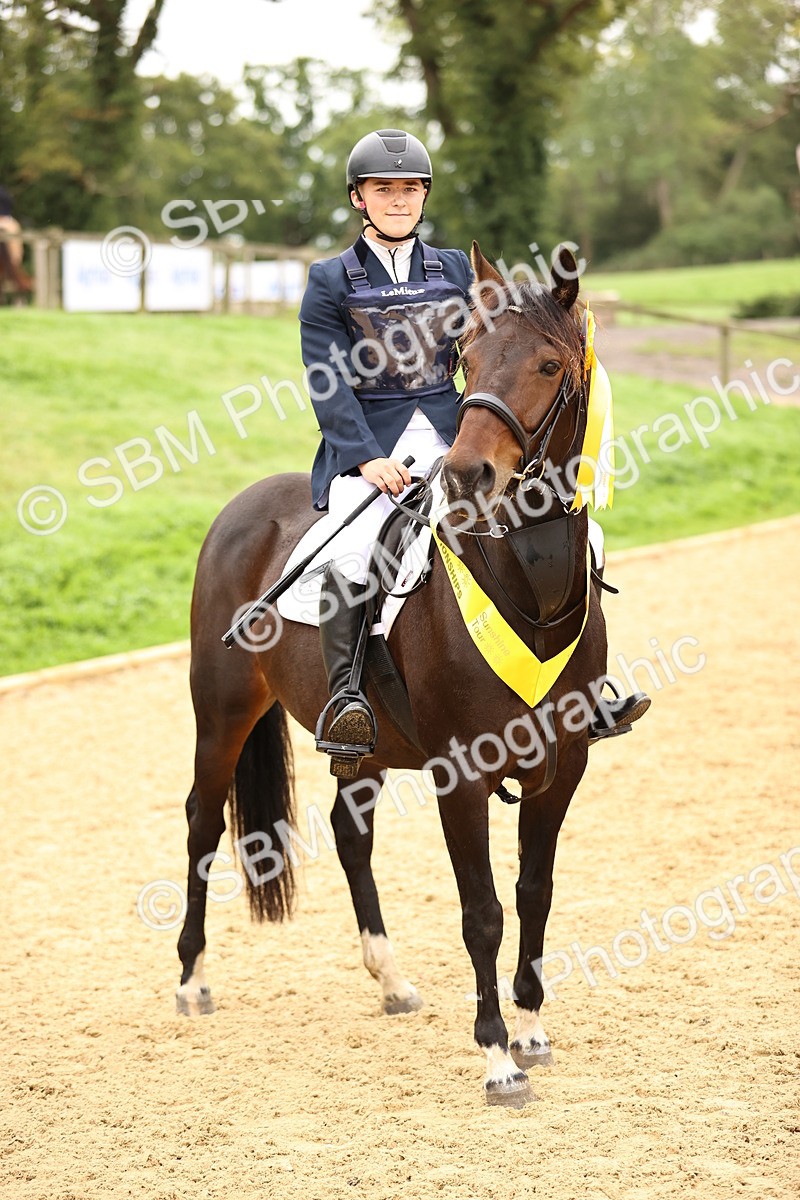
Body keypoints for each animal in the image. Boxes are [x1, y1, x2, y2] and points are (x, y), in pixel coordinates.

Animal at [176, 242, 609, 1106]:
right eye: (468, 356)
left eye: (548, 364)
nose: (469, 475)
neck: (530, 587)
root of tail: (243, 506)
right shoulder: (462, 773)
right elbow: (482, 910)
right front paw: (497, 1056)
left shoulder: (563, 766)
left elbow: (534, 892)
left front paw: (532, 1026)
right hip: (224, 710)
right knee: (202, 821)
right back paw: (191, 981)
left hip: (362, 745)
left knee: (350, 834)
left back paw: (390, 979)